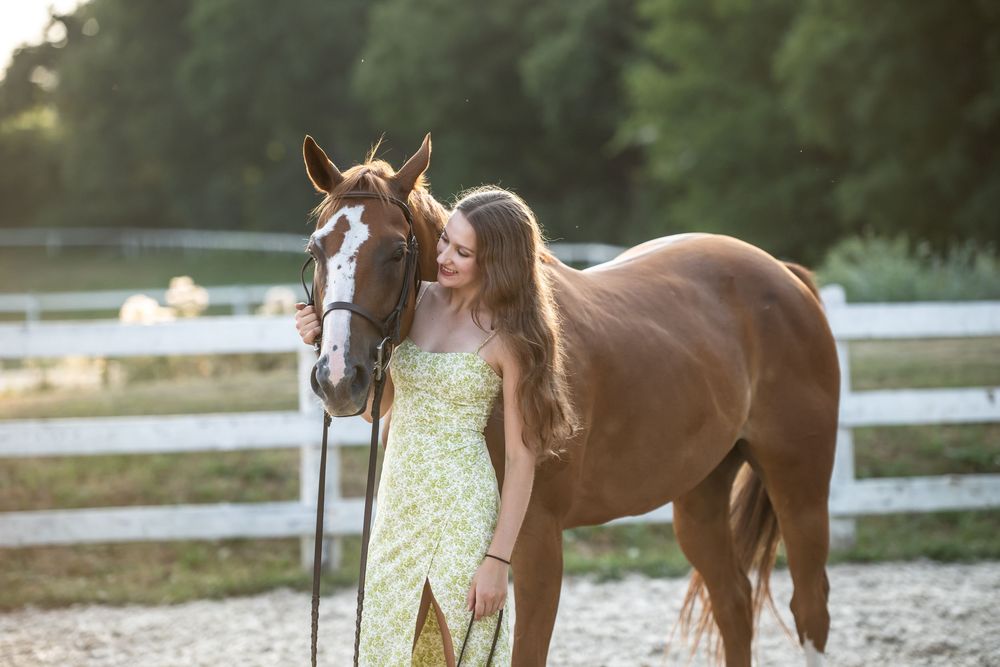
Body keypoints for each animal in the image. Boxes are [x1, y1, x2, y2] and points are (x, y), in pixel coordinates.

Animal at [302, 133, 839, 666]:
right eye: (316, 248)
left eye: (396, 251)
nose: (337, 378)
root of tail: (786, 276)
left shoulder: (537, 542)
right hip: (700, 495)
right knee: (733, 602)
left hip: (800, 489)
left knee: (809, 608)